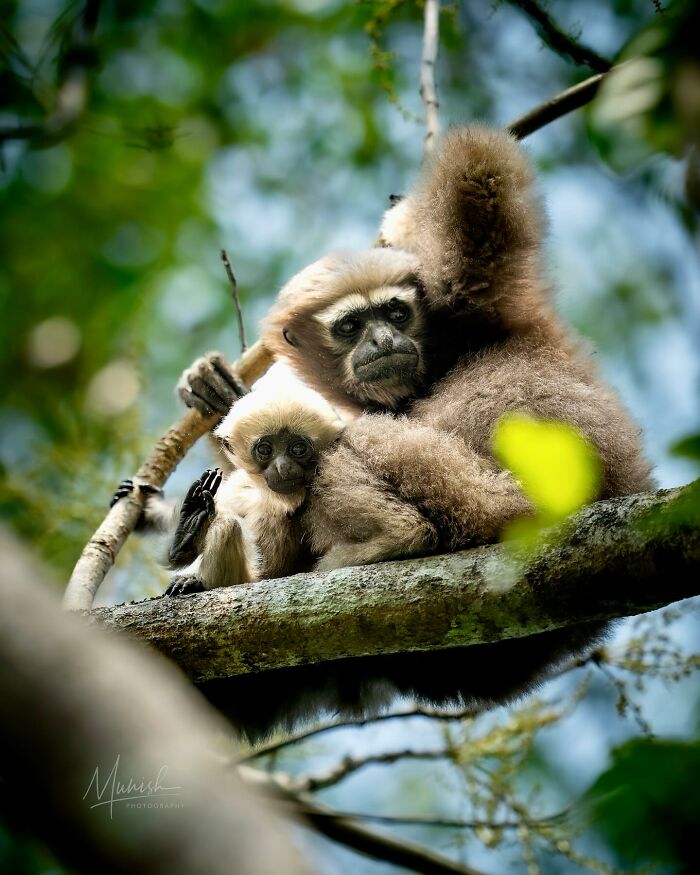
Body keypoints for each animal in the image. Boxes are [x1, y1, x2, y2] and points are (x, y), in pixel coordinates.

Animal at [163, 376, 346, 596]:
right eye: (265, 449)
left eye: (298, 449)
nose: (282, 466)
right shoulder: (240, 485)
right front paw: (189, 528)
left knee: (227, 525)